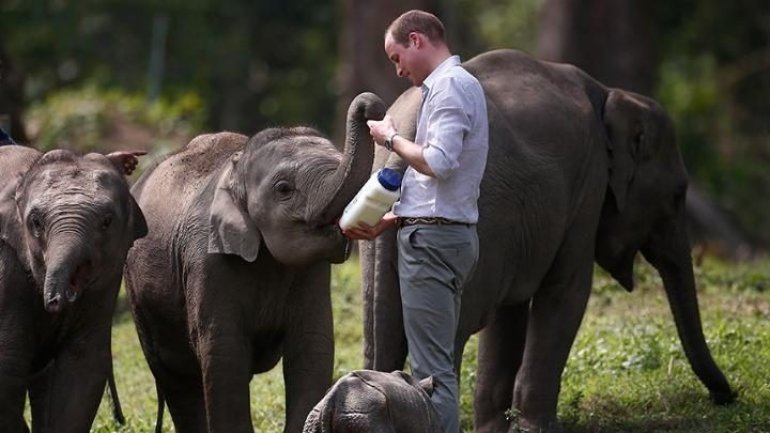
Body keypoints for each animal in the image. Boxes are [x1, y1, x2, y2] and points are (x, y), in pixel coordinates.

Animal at [0, 146, 146, 432]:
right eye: (35, 222)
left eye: (107, 221)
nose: (56, 300)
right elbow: (7, 369)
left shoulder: (107, 279)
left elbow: (81, 366)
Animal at [126, 92, 388, 432]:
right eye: (284, 189)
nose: (371, 105)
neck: (235, 170)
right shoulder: (206, 257)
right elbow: (224, 352)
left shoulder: (312, 273)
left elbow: (312, 346)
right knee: (176, 377)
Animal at [360, 49, 732, 430]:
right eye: (677, 194)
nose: (726, 397)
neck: (611, 94)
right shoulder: (588, 187)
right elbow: (569, 290)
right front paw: (537, 429)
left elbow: (509, 314)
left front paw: (497, 429)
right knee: (452, 335)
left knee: (383, 339)